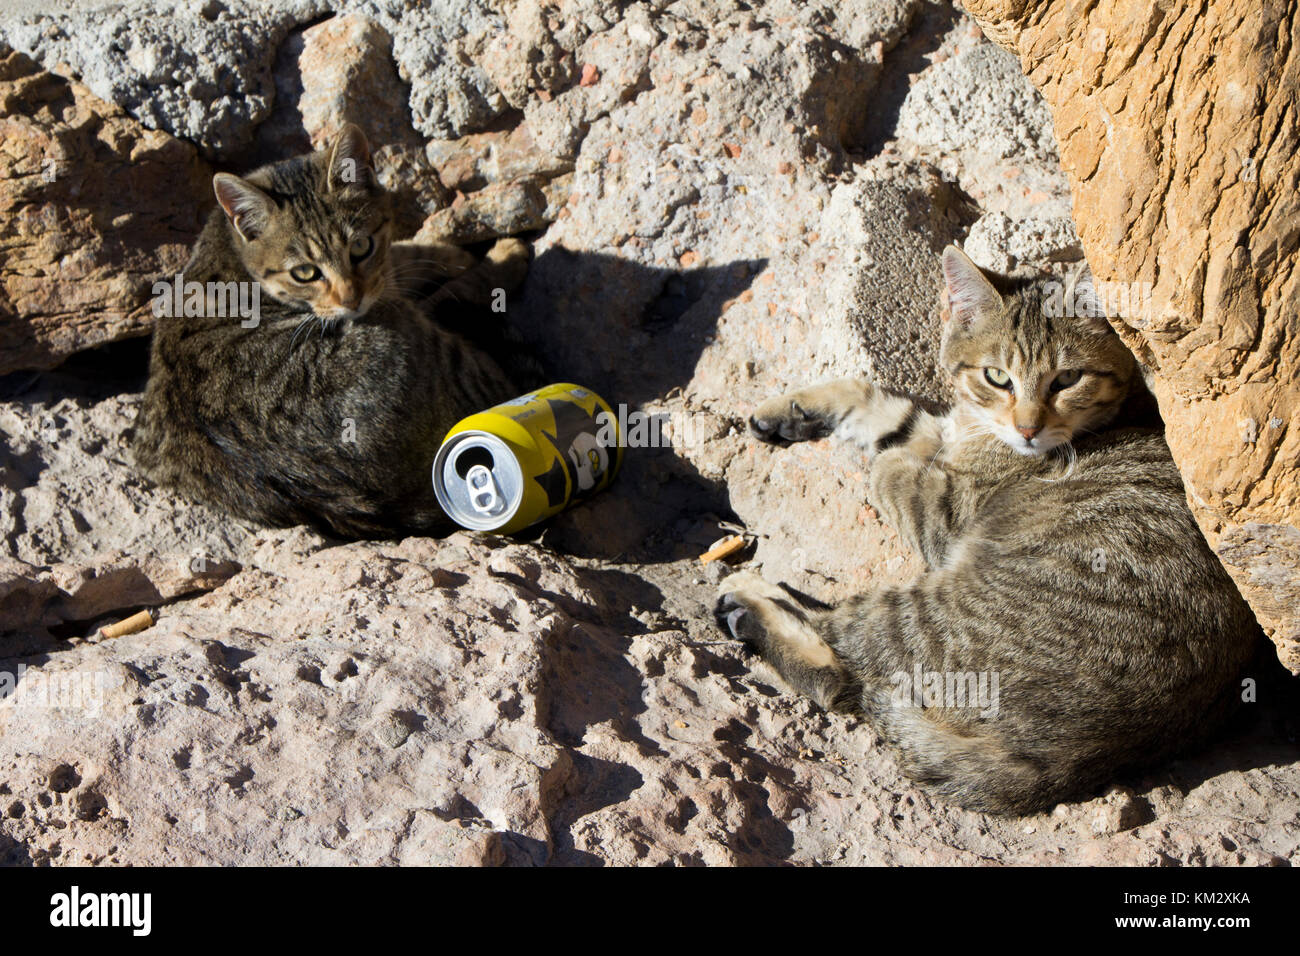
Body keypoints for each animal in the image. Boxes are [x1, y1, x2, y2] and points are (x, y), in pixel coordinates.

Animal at [133, 125, 533, 538]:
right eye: (304, 272)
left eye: (360, 246)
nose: (351, 299)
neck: (233, 250)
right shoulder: (395, 305)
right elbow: (448, 282)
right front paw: (501, 256)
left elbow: (405, 255)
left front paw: (451, 252)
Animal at [717, 247, 1263, 816]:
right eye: (998, 377)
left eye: (1068, 379)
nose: (1028, 428)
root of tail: (1081, 757)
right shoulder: (949, 431)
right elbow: (887, 407)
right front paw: (794, 408)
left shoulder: (943, 511)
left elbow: (890, 463)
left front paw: (879, 454)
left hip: (934, 614)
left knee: (846, 665)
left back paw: (747, 601)